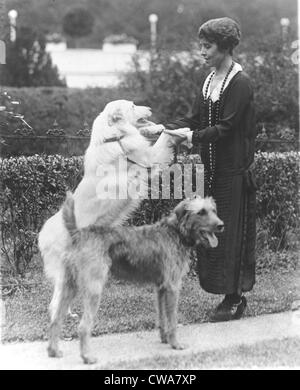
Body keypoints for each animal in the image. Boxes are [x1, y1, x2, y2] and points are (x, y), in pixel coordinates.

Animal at [38, 98, 191, 320]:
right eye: (133, 106)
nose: (150, 109)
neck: (114, 137)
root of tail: (41, 236)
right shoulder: (148, 159)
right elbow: (163, 139)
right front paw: (180, 131)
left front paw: (163, 128)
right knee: (54, 301)